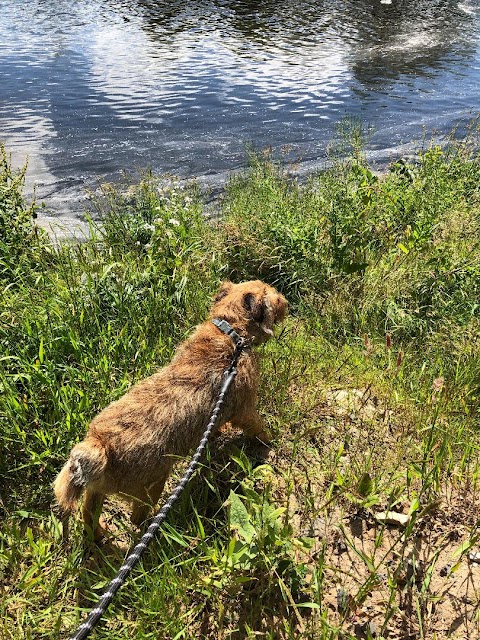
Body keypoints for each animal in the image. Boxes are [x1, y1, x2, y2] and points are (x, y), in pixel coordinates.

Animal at [53, 280, 284, 540]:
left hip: (97, 491)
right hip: (152, 486)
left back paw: (100, 534)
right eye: (275, 295)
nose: (285, 302)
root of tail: (100, 444)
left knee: (88, 515)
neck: (230, 332)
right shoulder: (246, 409)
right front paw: (268, 441)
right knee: (137, 517)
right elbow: (257, 427)